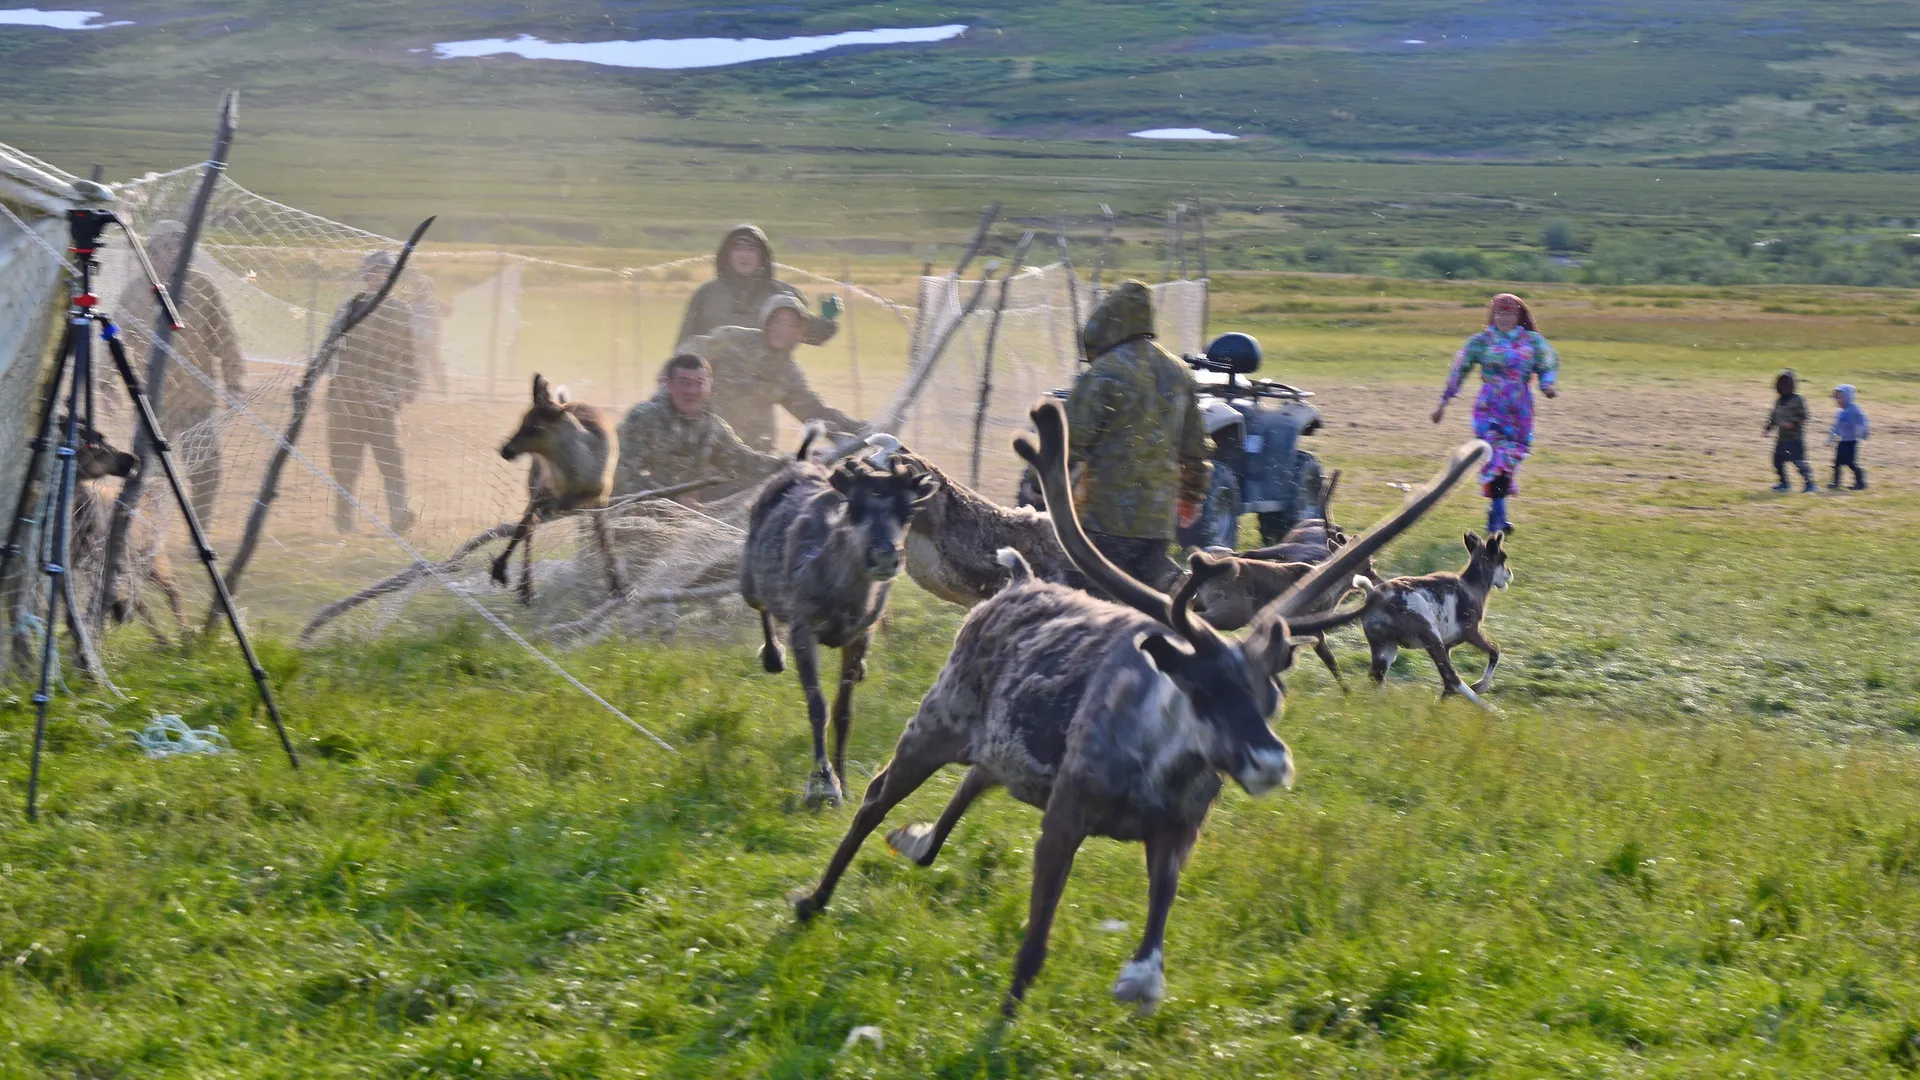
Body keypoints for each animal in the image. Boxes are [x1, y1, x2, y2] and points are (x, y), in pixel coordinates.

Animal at [491, 374, 625, 599]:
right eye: (521, 420)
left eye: (535, 427)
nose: (505, 450)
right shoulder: (542, 489)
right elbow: (524, 527)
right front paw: (500, 568)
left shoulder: (600, 495)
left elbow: (604, 537)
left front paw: (618, 585)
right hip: (533, 480)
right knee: (528, 527)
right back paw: (526, 587)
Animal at [1359, 530, 1505, 707]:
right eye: (1503, 557)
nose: (1510, 574)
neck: (1471, 586)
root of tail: (1374, 595)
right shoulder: (1471, 633)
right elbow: (1495, 650)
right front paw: (1480, 686)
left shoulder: (1448, 645)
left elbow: (1447, 686)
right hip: (1431, 639)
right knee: (1451, 675)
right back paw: (1490, 708)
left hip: (1385, 645)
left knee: (1376, 676)